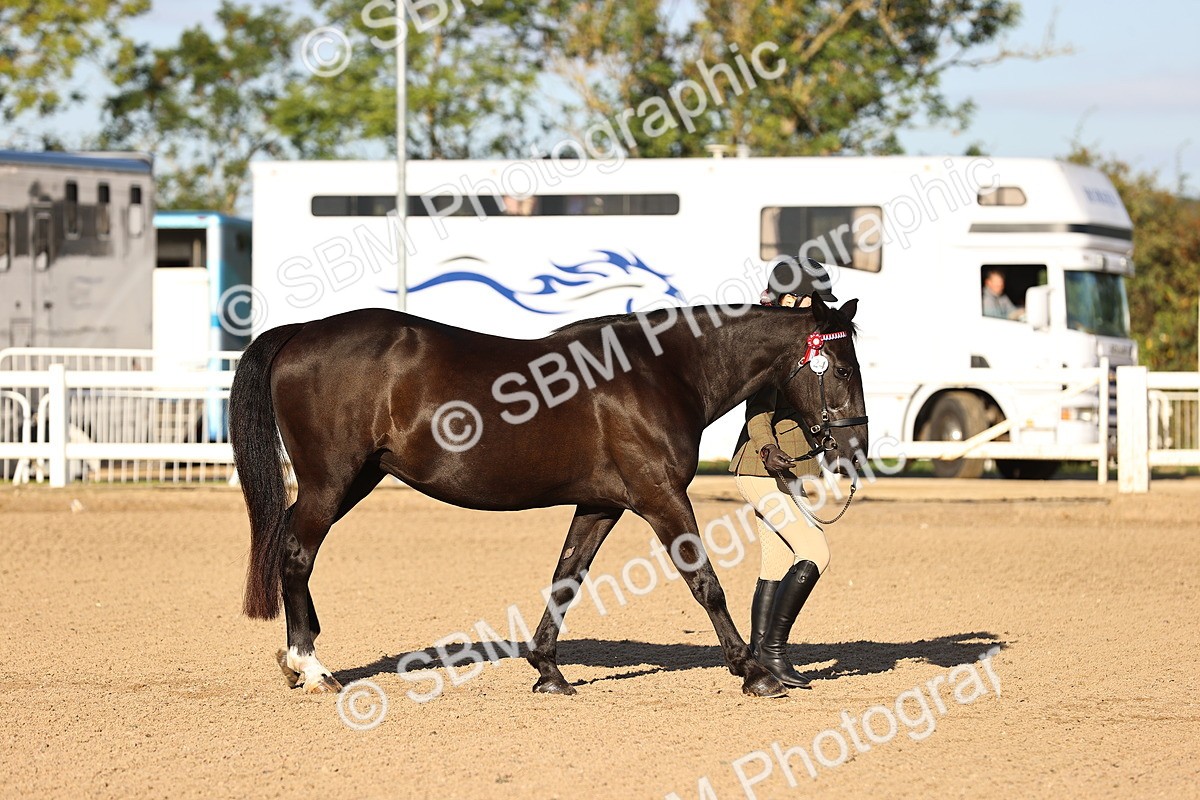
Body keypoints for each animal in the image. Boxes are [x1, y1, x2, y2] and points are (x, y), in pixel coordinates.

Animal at [229, 295, 868, 699]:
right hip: (332, 480)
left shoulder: (602, 504)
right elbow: (704, 582)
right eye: (840, 368)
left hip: (352, 480)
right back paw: (310, 667)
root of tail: (301, 332)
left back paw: (301, 656)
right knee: (296, 554)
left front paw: (547, 670)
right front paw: (753, 672)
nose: (856, 445)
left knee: (290, 545)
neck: (662, 372)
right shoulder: (660, 496)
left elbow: (567, 577)